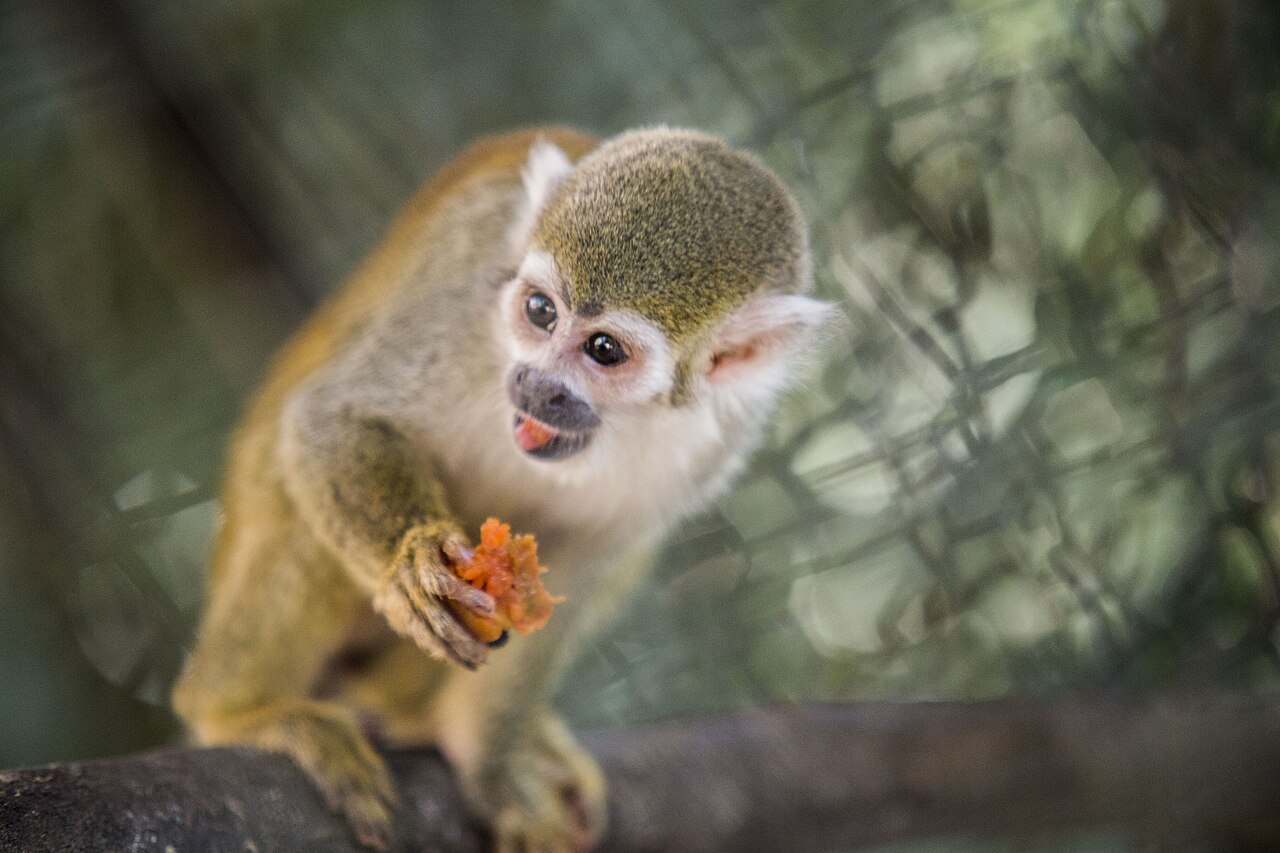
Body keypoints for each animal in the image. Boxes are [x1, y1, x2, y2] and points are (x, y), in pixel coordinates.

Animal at [172, 125, 832, 851]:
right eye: (541, 312)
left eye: (604, 350)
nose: (536, 385)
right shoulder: (463, 289)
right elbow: (334, 417)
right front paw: (412, 561)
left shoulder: (723, 436)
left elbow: (583, 562)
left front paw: (488, 764)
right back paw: (240, 709)